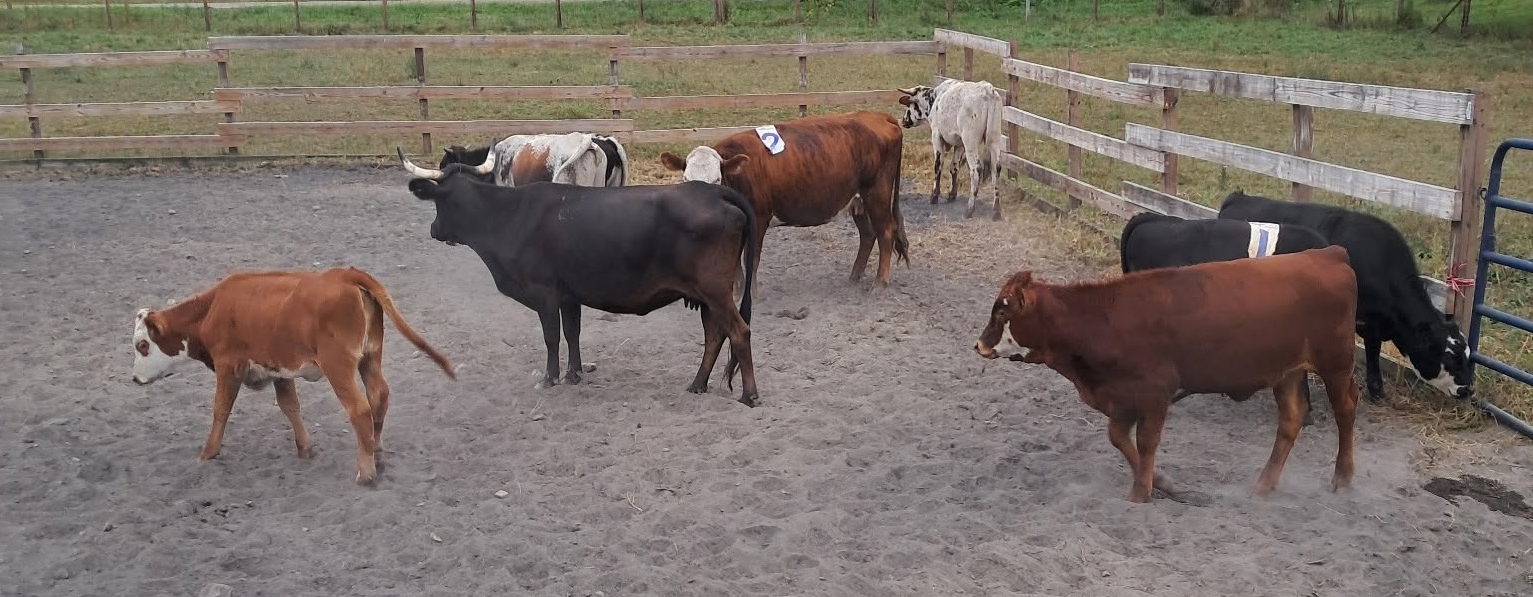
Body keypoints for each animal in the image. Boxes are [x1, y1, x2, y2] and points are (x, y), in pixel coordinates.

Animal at [130, 267, 456, 485]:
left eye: (142, 345)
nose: (134, 379)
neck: (213, 309)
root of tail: (344, 275)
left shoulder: (229, 366)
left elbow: (221, 409)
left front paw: (207, 453)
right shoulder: (279, 369)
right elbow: (290, 406)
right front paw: (304, 448)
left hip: (338, 367)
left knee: (359, 409)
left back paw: (366, 473)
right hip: (370, 358)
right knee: (379, 397)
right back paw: (377, 454)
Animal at [398, 148, 761, 406]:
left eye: (440, 203)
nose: (434, 230)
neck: (509, 216)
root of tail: (713, 193)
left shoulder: (543, 292)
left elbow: (552, 336)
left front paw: (549, 377)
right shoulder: (569, 294)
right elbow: (573, 333)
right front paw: (573, 374)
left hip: (715, 290)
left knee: (739, 332)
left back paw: (749, 395)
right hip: (707, 295)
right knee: (715, 335)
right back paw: (697, 385)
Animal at [659, 110, 909, 291]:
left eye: (717, 180)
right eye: (685, 179)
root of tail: (878, 116)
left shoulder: (758, 219)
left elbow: (752, 259)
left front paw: (751, 294)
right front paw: (737, 291)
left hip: (877, 193)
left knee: (886, 231)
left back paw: (879, 283)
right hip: (857, 201)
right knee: (868, 234)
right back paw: (855, 275)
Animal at [896, 80, 1005, 220]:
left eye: (909, 105)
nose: (904, 120)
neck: (935, 98)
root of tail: (988, 91)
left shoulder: (937, 135)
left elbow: (938, 164)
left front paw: (934, 195)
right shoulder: (959, 144)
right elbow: (954, 167)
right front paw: (952, 194)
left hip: (970, 142)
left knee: (976, 169)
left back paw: (970, 209)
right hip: (994, 139)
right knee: (996, 168)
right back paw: (996, 210)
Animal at [974, 246, 1361, 503]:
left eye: (1001, 312)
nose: (978, 345)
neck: (1103, 321)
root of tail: (1328, 254)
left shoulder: (1155, 393)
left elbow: (1146, 442)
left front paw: (1140, 492)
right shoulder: (1123, 399)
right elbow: (1118, 439)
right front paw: (1164, 484)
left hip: (1335, 364)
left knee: (1345, 411)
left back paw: (1342, 478)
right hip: (1287, 372)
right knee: (1291, 420)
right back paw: (1264, 484)